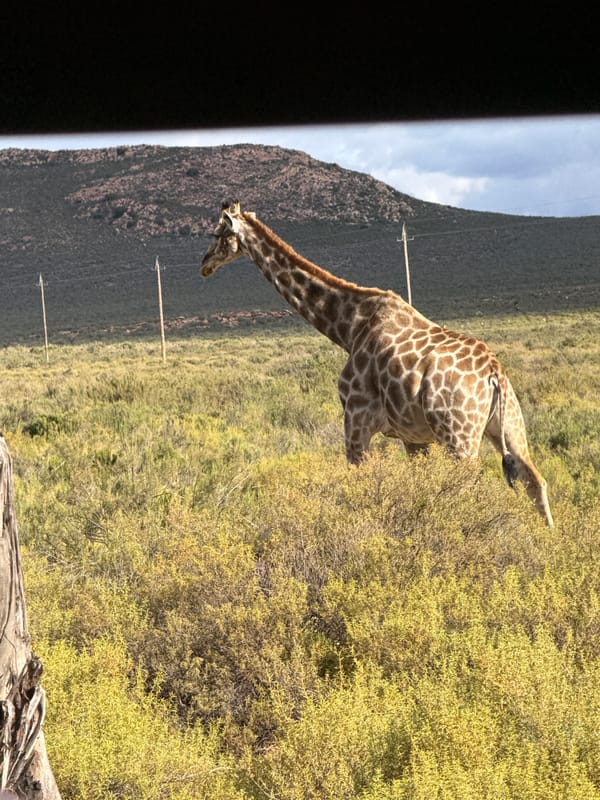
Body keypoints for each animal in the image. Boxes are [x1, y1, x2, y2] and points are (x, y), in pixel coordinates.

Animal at [200, 201, 553, 526]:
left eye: (218, 233)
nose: (204, 264)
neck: (347, 326)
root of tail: (493, 372)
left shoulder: (356, 421)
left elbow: (361, 484)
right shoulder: (413, 437)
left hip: (459, 435)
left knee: (472, 489)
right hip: (508, 424)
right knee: (535, 480)